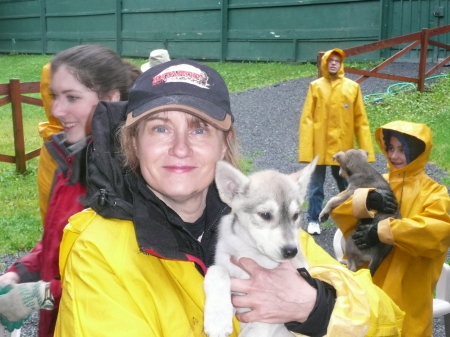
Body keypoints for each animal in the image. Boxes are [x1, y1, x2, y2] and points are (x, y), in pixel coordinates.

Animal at [202, 158, 318, 336]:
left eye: (296, 215)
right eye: (265, 215)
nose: (291, 251)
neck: (252, 253)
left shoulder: (269, 312)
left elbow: (254, 329)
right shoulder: (223, 259)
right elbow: (217, 271)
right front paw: (218, 319)